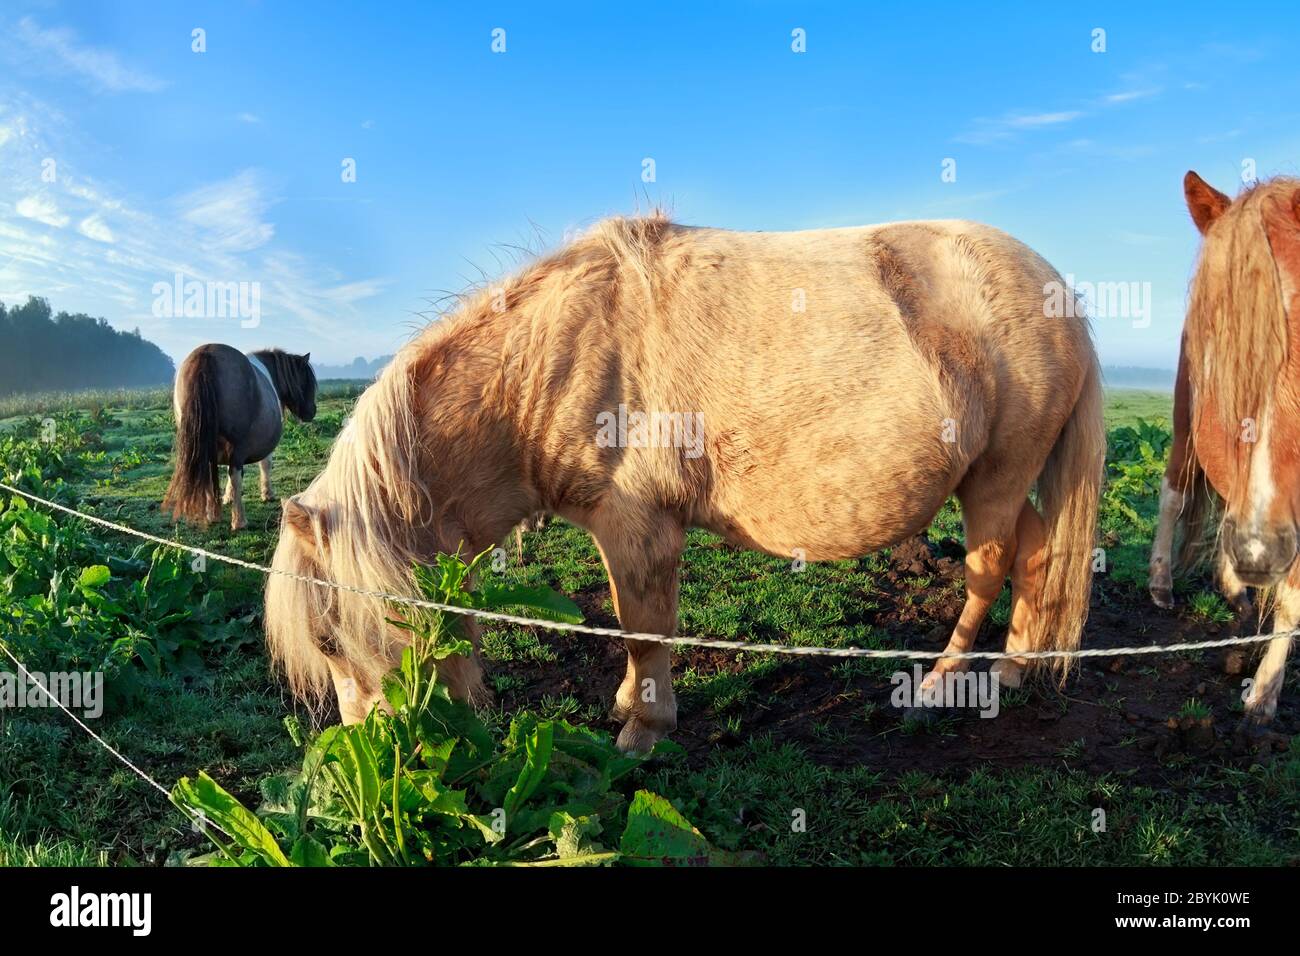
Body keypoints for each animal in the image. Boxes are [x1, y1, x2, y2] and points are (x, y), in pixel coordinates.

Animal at [162, 345, 317, 530]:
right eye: (307, 382)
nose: (312, 412)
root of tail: (206, 354)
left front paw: (227, 497)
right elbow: (265, 464)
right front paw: (267, 494)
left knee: (211, 474)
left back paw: (212, 515)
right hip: (237, 446)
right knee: (235, 475)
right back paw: (239, 521)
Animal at [269, 217, 1102, 754]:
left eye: (326, 638)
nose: (378, 752)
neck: (550, 359)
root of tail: (1056, 293)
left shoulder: (636, 525)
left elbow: (643, 628)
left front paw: (644, 729)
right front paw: (630, 704)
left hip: (997, 478)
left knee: (991, 568)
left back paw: (942, 683)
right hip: (996, 481)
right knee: (1035, 555)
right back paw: (1015, 669)